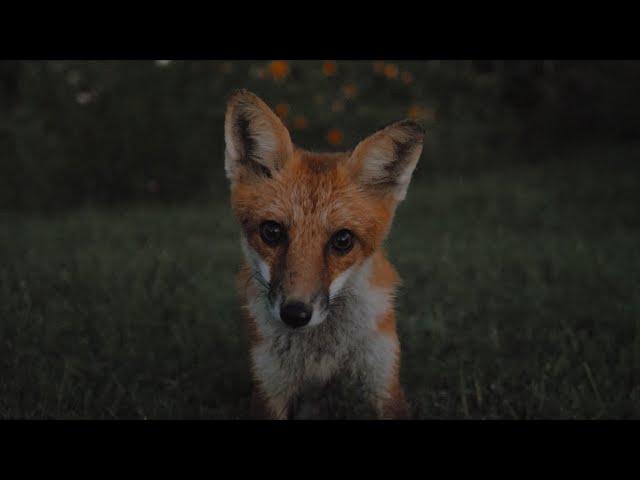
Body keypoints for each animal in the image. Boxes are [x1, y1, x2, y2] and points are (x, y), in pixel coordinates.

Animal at [225, 90, 424, 420]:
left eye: (342, 240)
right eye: (272, 231)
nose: (295, 314)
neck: (321, 354)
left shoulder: (383, 381)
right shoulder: (270, 386)